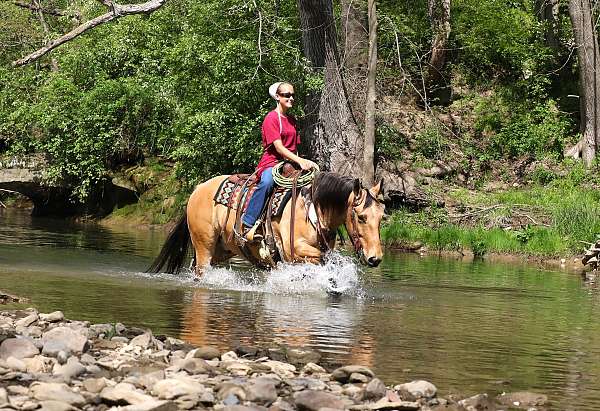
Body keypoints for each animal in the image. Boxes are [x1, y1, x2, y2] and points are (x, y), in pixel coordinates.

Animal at [148, 172, 386, 276]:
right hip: (204, 243)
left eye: (381, 217)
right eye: (361, 217)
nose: (375, 258)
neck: (312, 209)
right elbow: (320, 260)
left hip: (221, 249)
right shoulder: (294, 251)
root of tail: (197, 189)